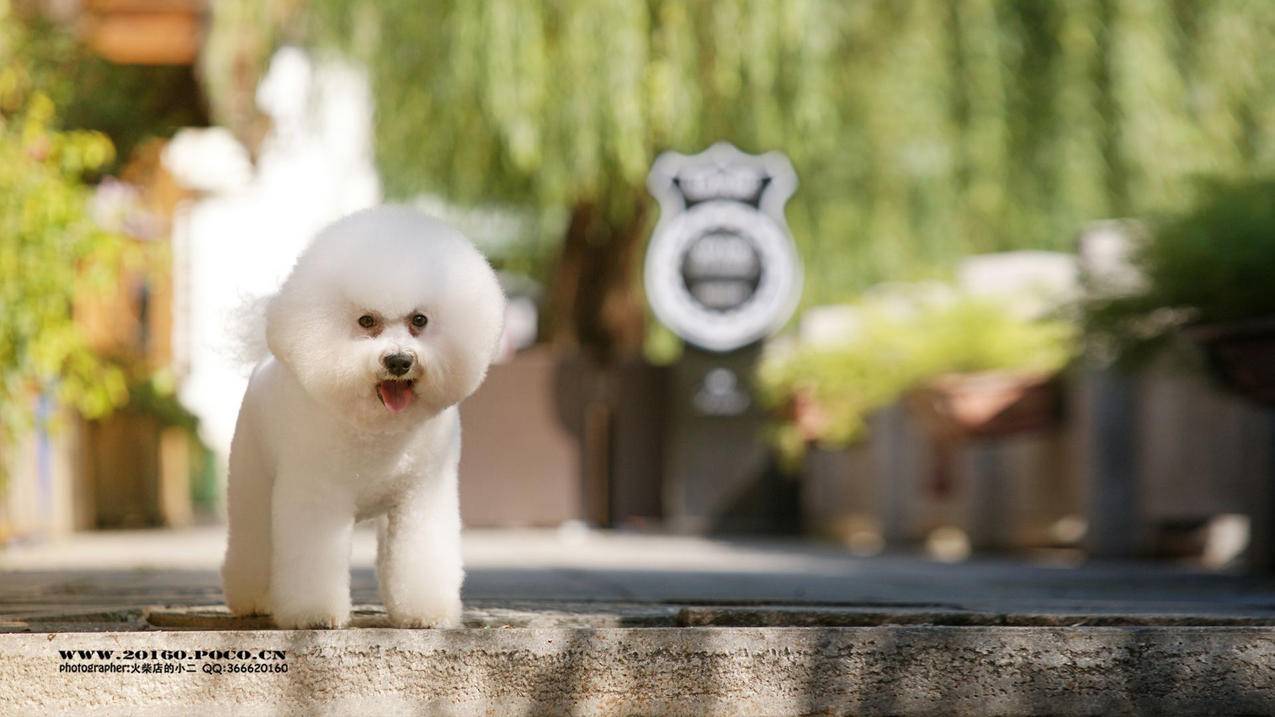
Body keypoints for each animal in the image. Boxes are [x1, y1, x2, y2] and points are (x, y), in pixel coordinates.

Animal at [219, 202, 502, 625]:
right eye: (366, 321)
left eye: (419, 320)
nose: (399, 361)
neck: (379, 433)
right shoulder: (318, 493)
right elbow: (312, 557)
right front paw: (314, 615)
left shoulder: (422, 494)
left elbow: (420, 556)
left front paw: (425, 612)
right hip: (252, 475)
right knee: (252, 537)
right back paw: (254, 598)